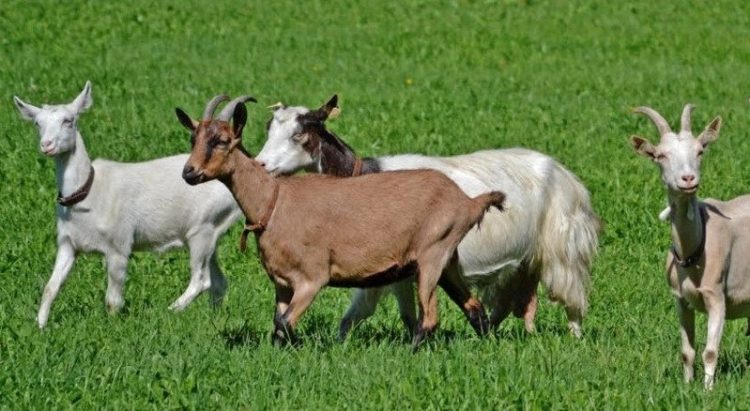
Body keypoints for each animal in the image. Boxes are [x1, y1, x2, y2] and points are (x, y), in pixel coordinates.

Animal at [13, 81, 241, 328]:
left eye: (68, 120)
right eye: (38, 123)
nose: (46, 145)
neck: (89, 191)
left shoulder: (118, 245)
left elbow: (112, 300)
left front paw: (112, 329)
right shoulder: (67, 242)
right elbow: (50, 287)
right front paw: (40, 326)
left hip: (201, 229)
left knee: (201, 280)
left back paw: (169, 311)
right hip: (212, 234)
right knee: (218, 282)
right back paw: (213, 321)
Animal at [177, 96, 508, 348]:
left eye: (221, 141)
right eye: (194, 138)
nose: (189, 173)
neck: (273, 201)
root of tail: (467, 201)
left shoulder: (312, 278)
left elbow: (285, 323)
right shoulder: (282, 283)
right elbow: (278, 325)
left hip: (432, 253)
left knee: (430, 318)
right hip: (447, 259)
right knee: (474, 308)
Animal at [256, 96, 604, 338]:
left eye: (299, 134)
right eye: (269, 129)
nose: (260, 165)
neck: (365, 177)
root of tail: (568, 177)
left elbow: (359, 312)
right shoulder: (398, 271)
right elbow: (401, 315)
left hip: (563, 249)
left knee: (572, 299)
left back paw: (574, 337)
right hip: (523, 263)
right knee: (512, 302)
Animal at [632, 103, 748, 390]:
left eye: (700, 151)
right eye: (660, 156)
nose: (688, 178)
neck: (694, 250)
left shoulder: (716, 296)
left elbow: (710, 352)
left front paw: (707, 391)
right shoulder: (680, 299)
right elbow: (687, 351)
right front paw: (686, 388)